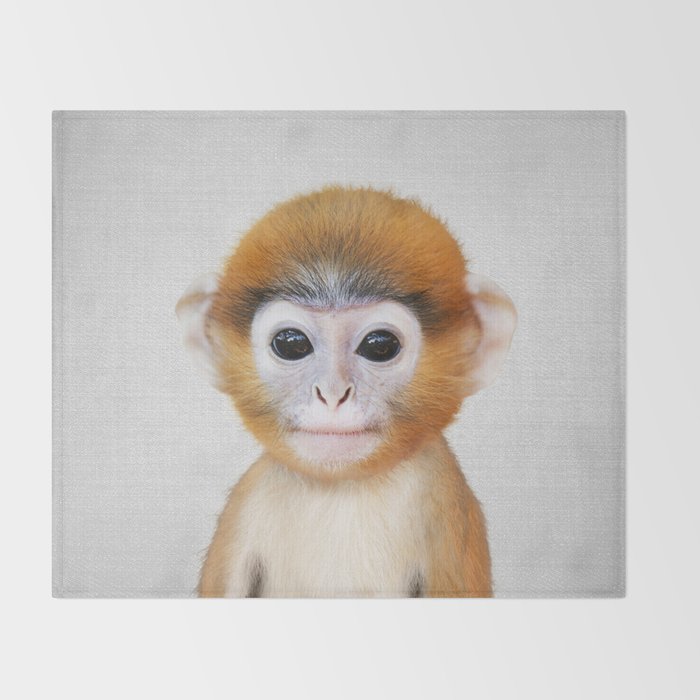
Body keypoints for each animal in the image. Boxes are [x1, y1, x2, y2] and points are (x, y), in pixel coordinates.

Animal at [177, 187, 516, 597]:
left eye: (380, 346)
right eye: (291, 344)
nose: (333, 394)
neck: (342, 488)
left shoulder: (447, 509)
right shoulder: (244, 508)